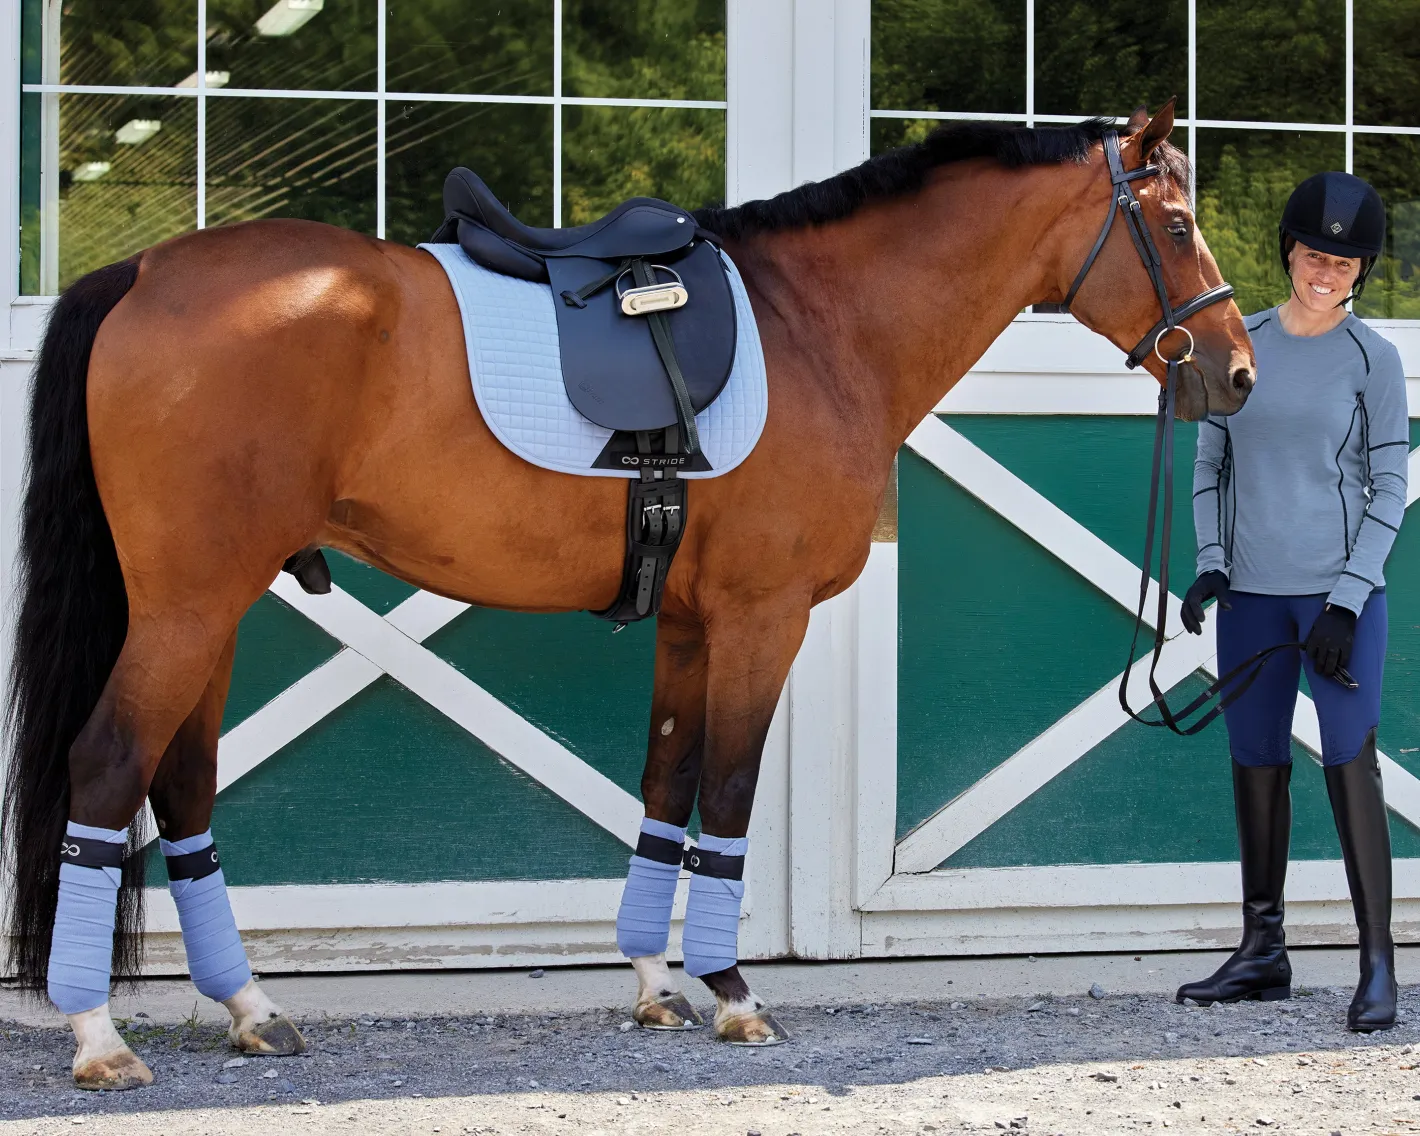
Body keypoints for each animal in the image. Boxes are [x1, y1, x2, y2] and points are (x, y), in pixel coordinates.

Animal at [3, 100, 1254, 1089]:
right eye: (1175, 226)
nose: (1235, 371)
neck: (817, 325)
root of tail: (145, 272)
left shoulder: (693, 624)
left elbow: (666, 781)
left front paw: (657, 980)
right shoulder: (760, 617)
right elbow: (731, 791)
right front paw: (735, 989)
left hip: (211, 607)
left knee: (182, 783)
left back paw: (252, 1007)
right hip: (186, 606)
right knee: (108, 766)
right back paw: (99, 1034)